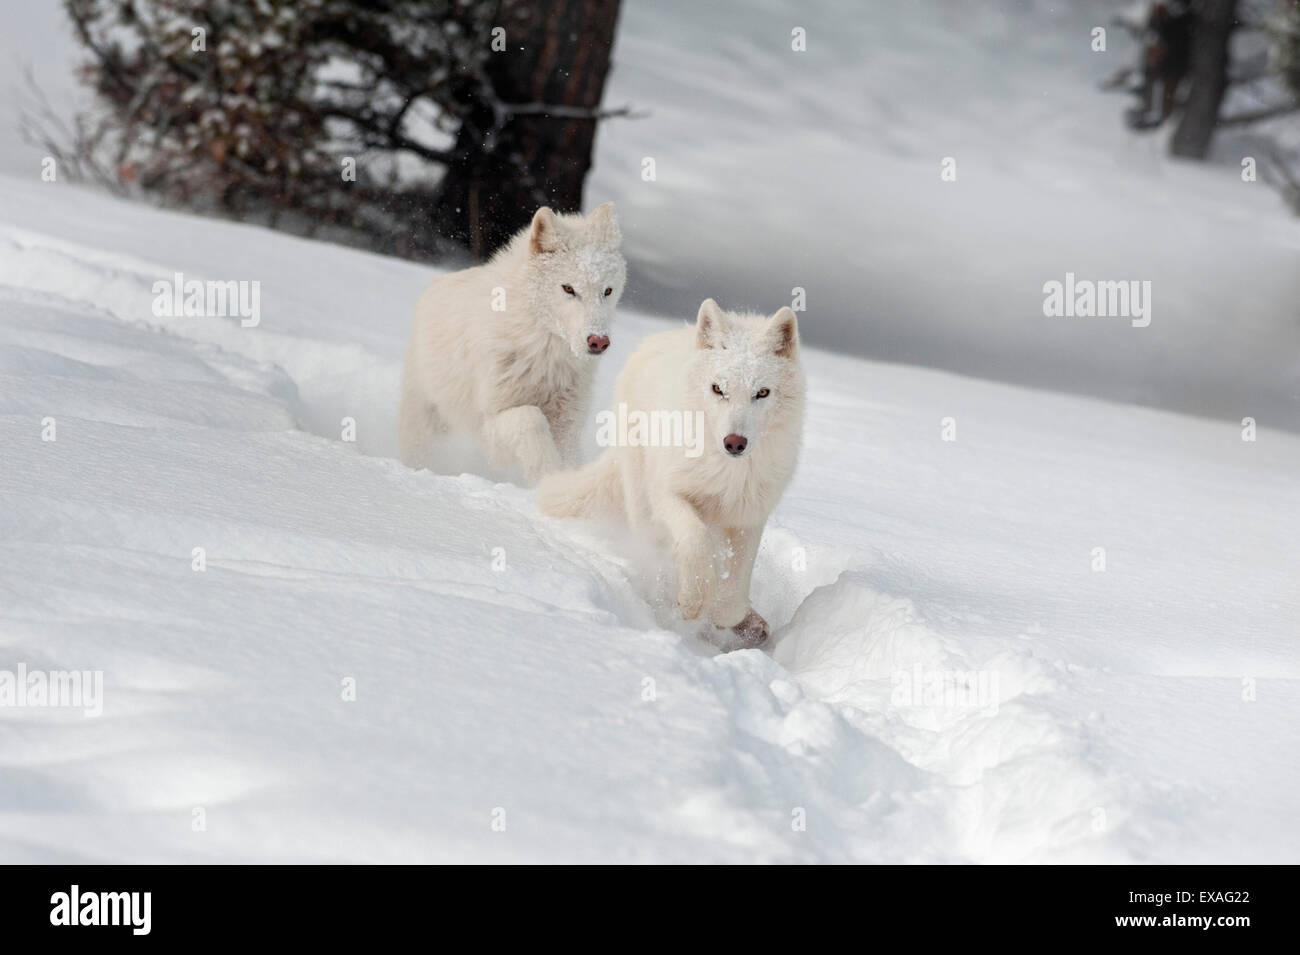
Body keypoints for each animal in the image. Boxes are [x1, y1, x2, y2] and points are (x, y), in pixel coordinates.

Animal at [397, 203, 626, 480]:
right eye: (569, 289)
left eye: (607, 291)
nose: (599, 341)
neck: (545, 358)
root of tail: (438, 280)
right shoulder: (491, 423)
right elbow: (531, 420)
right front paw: (546, 473)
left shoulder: (568, 424)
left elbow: (569, 459)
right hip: (425, 424)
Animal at [535, 294, 800, 647]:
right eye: (718, 389)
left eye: (762, 393)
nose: (735, 443)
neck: (725, 473)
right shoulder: (668, 494)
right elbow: (694, 539)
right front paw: (692, 601)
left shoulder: (749, 516)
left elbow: (732, 596)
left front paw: (726, 615)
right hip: (644, 507)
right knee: (657, 558)